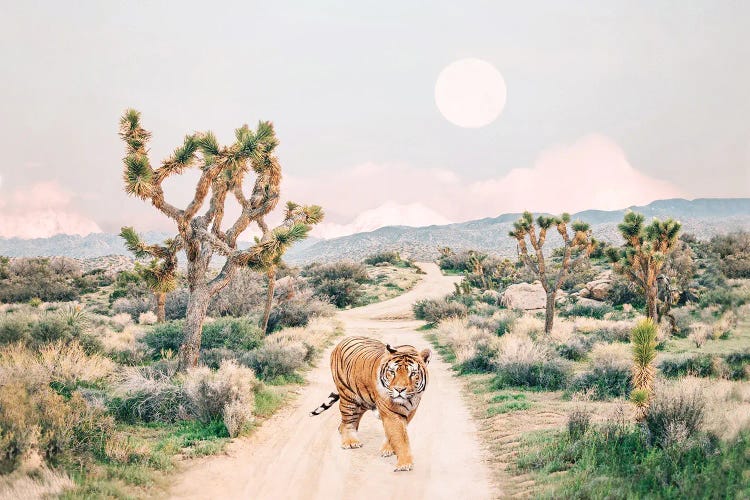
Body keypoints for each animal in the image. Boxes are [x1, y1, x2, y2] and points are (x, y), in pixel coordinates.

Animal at [308, 336, 432, 472]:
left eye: (413, 374)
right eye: (392, 372)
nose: (399, 390)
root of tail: (344, 340)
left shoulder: (411, 411)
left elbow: (395, 433)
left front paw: (388, 449)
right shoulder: (391, 412)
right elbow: (400, 437)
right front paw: (404, 464)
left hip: (363, 400)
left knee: (352, 419)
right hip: (347, 396)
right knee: (348, 420)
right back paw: (350, 441)